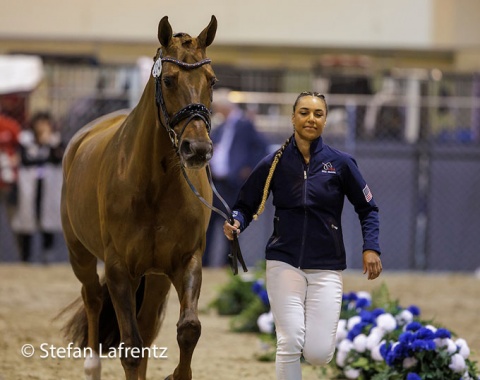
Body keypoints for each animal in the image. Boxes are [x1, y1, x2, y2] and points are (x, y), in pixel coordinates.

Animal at [61, 15, 218, 380]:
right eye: (170, 80)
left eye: (212, 81)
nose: (198, 150)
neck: (155, 186)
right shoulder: (120, 269)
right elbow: (130, 349)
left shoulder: (186, 261)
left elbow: (188, 328)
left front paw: (177, 375)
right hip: (80, 253)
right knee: (92, 297)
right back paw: (92, 365)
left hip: (156, 277)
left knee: (146, 329)